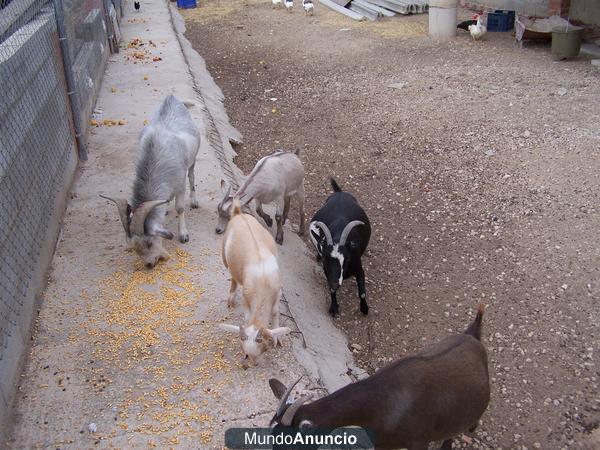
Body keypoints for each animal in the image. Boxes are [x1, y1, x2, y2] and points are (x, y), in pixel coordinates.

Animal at [99, 96, 200, 268]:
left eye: (149, 243)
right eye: (133, 248)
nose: (149, 264)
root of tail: (173, 98)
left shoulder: (180, 185)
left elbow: (180, 208)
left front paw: (184, 235)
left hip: (192, 160)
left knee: (192, 176)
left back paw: (194, 201)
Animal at [220, 200, 290, 366]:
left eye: (264, 348)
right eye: (244, 351)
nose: (254, 364)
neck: (263, 283)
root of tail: (238, 213)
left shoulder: (277, 295)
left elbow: (275, 313)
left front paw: (278, 339)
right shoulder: (247, 298)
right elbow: (247, 317)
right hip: (225, 258)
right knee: (233, 277)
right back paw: (231, 299)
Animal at [310, 178, 370, 316]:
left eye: (347, 259)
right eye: (326, 258)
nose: (336, 284)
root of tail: (339, 192)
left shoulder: (358, 268)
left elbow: (362, 293)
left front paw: (364, 309)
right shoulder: (327, 271)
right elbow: (331, 290)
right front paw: (334, 308)